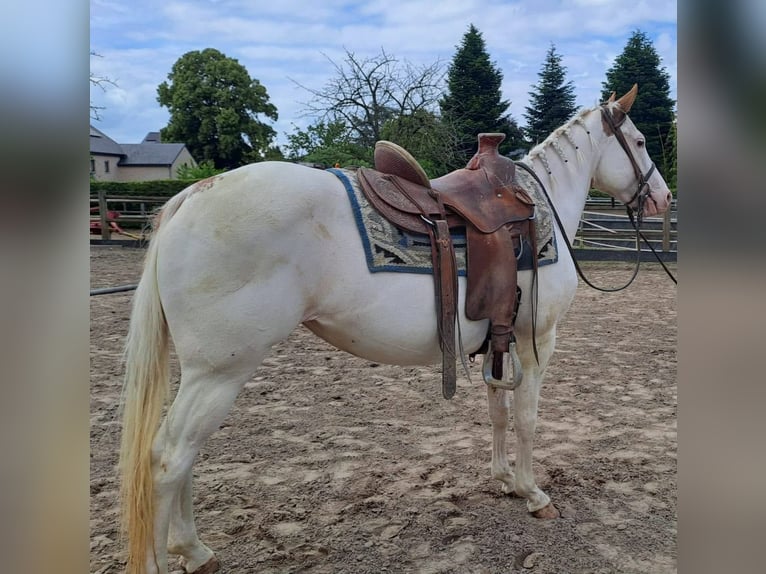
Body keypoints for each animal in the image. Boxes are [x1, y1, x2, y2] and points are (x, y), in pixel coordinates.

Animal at [118, 84, 672, 574]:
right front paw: (533, 493)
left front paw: (504, 479)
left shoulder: (501, 339)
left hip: (201, 374)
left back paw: (195, 551)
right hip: (219, 373)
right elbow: (527, 419)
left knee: (184, 456)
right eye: (642, 141)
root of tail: (194, 194)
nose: (663, 198)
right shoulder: (538, 341)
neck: (537, 209)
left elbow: (498, 412)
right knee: (168, 460)